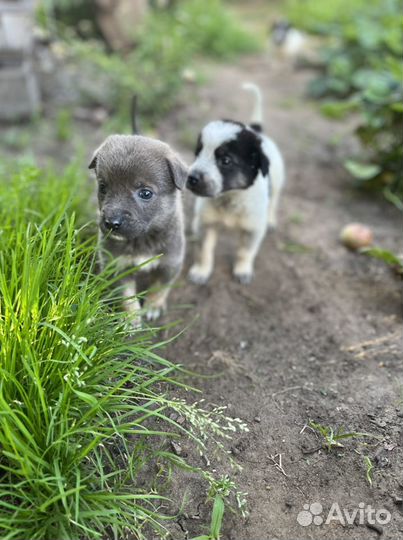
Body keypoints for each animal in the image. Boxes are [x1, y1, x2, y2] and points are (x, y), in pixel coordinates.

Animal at [186, 82, 284, 284]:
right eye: (197, 153)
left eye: (225, 161)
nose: (191, 178)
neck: (230, 197)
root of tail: (257, 132)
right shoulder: (206, 224)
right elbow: (204, 251)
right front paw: (201, 271)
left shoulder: (253, 229)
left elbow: (244, 252)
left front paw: (243, 270)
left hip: (278, 182)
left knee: (274, 202)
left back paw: (271, 220)